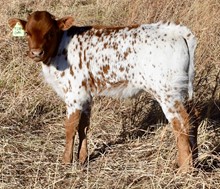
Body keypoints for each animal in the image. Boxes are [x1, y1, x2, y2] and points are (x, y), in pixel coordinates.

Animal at [8, 11, 197, 172]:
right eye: (27, 33)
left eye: (50, 33)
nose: (36, 53)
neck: (60, 49)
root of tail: (174, 30)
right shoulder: (85, 95)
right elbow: (84, 126)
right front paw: (82, 159)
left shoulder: (74, 94)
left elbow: (70, 127)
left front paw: (66, 161)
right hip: (180, 90)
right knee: (192, 118)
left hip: (166, 92)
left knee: (180, 122)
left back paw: (185, 169)